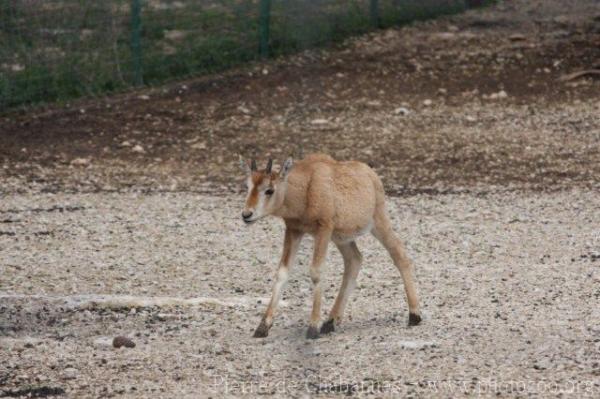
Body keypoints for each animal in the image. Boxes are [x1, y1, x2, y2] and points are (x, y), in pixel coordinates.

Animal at [239, 154, 422, 340]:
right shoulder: (294, 230)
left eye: (269, 190)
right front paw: (262, 327)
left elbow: (316, 271)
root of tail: (370, 174)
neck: (306, 187)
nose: (246, 215)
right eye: (248, 187)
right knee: (354, 259)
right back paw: (330, 322)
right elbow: (282, 272)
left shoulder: (323, 229)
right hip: (341, 238)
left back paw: (414, 315)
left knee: (399, 253)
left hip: (378, 222)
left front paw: (312, 327)